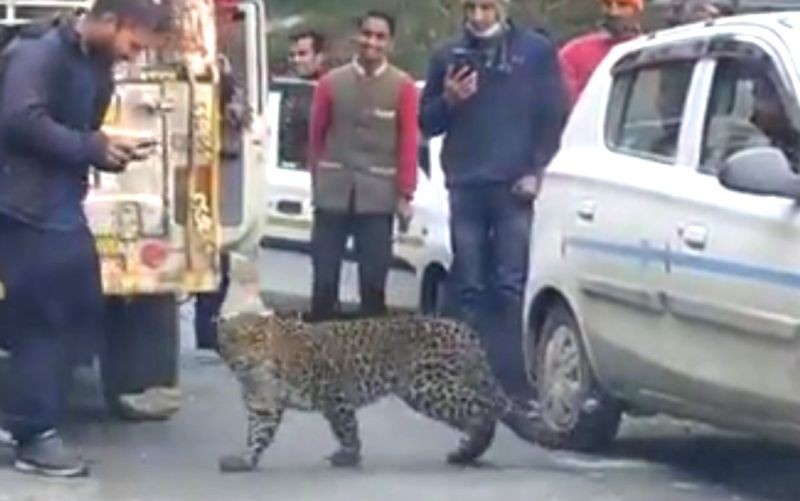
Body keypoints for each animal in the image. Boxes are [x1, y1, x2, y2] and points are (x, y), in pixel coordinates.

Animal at [216, 311, 541, 472]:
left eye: (255, 340)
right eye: (230, 340)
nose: (241, 361)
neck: (260, 374)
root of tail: (465, 329)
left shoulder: (335, 394)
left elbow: (346, 428)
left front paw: (349, 456)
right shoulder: (263, 408)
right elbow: (258, 436)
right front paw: (245, 460)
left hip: (430, 388)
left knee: (494, 405)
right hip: (427, 395)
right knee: (481, 417)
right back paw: (465, 453)